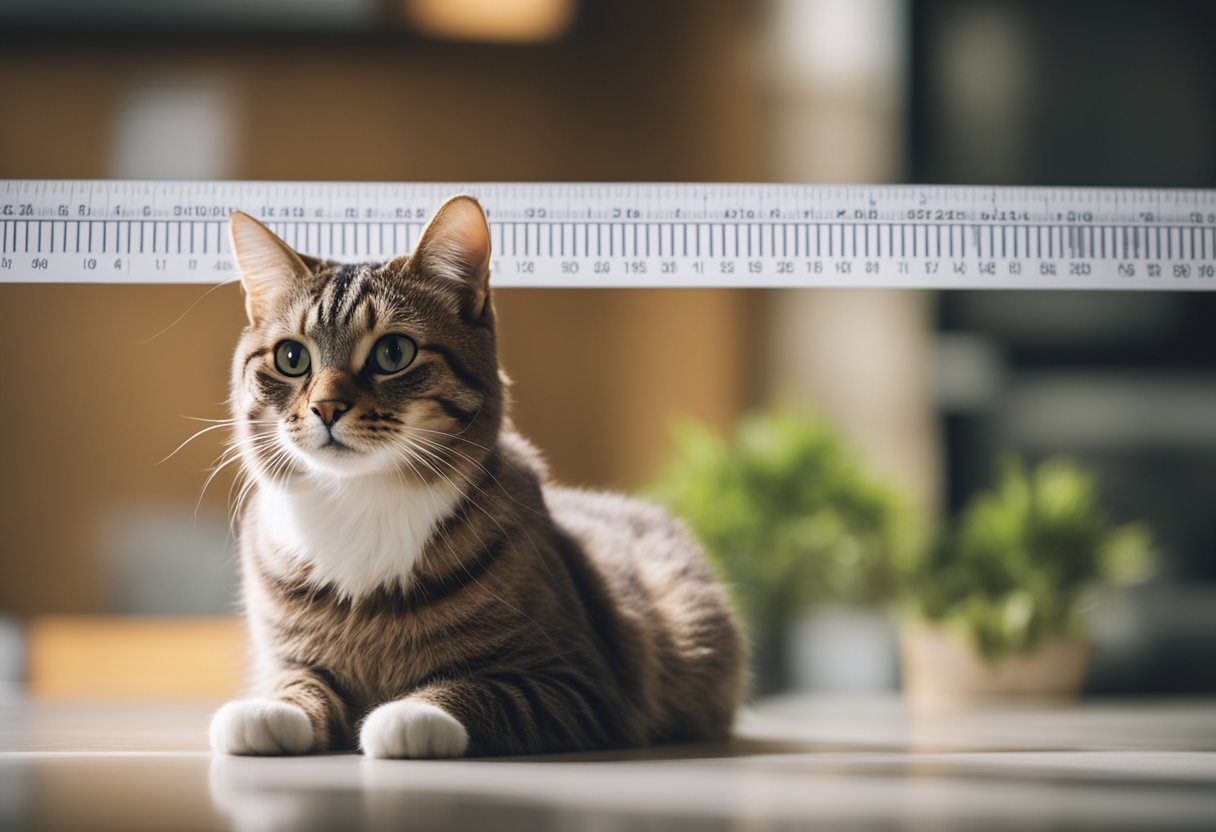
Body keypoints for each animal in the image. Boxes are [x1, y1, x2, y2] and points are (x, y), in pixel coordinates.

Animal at [206, 198, 749, 759]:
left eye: (393, 353)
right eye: (292, 358)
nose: (326, 407)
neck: (360, 498)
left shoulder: (581, 680)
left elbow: (485, 691)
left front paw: (410, 714)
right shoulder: (288, 659)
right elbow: (295, 682)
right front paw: (267, 710)